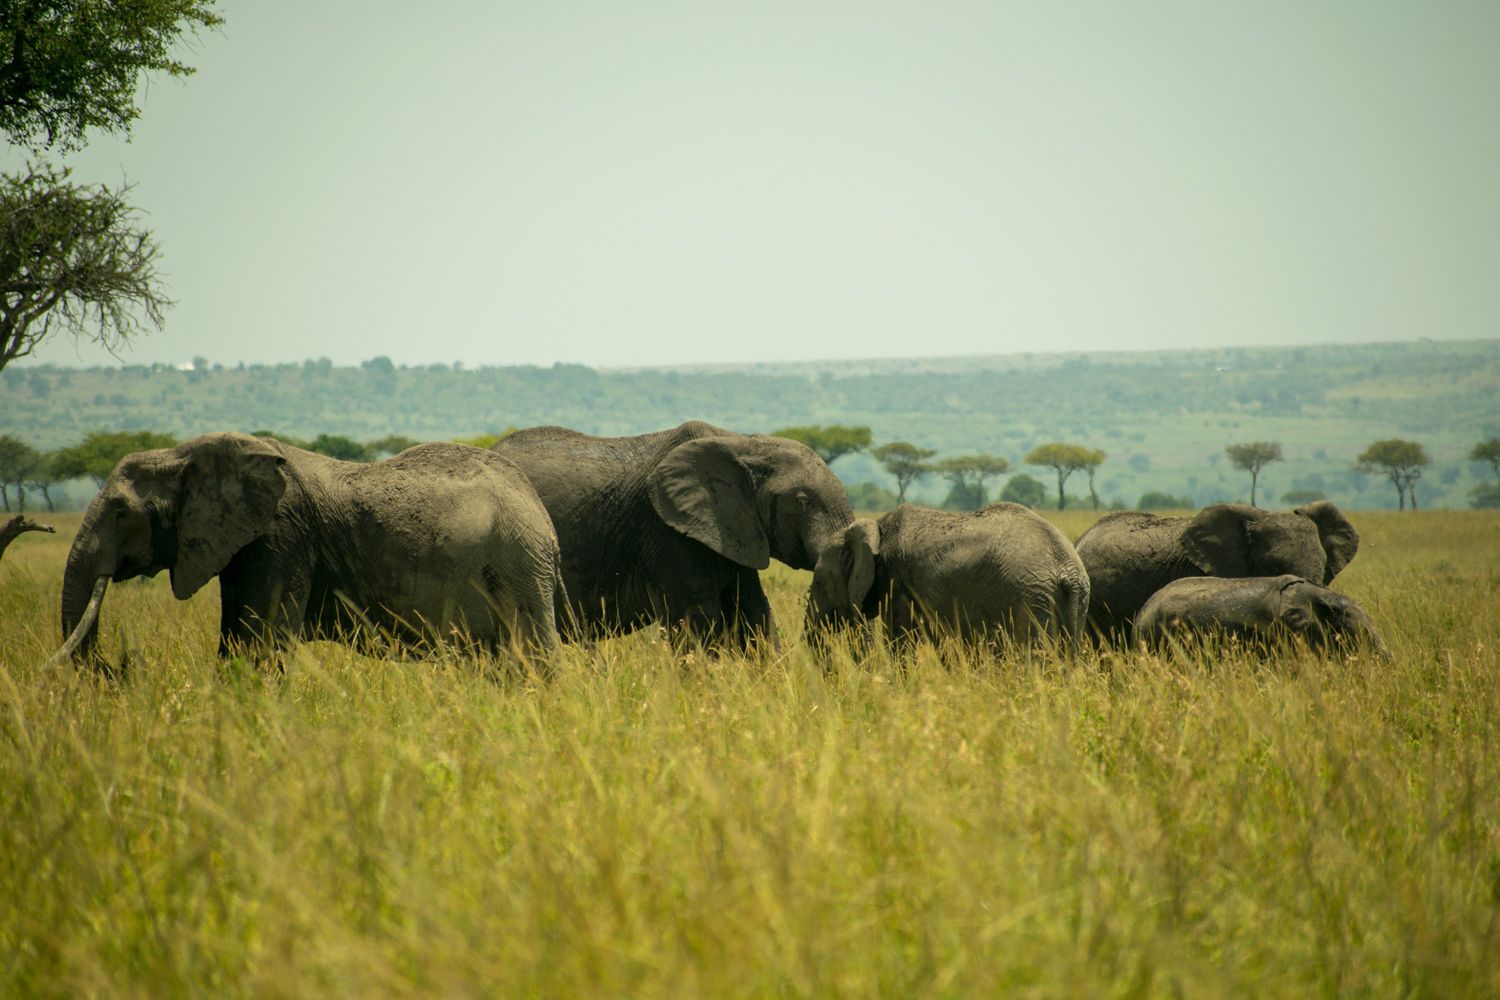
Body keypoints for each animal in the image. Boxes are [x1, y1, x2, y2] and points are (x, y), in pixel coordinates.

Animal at [54, 432, 565, 666]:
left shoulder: (281, 537)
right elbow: (233, 640)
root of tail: (539, 511)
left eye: (121, 513)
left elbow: (260, 644)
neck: (182, 453)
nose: (118, 666)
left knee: (531, 655)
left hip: (517, 562)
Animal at [491, 421, 855, 648]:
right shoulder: (668, 533)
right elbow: (698, 623)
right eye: (803, 502)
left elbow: (753, 613)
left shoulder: (733, 530)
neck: (742, 443)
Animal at [804, 502, 1091, 649]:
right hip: (1075, 602)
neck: (876, 527)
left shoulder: (898, 585)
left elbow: (902, 644)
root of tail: (1066, 567)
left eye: (818, 581)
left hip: (1029, 599)